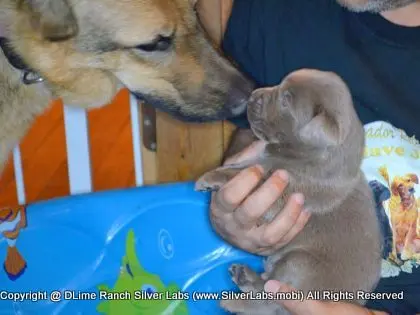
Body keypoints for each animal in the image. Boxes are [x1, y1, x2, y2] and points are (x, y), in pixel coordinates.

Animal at [195, 69, 382, 315]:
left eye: (286, 101)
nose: (253, 96)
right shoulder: (263, 161)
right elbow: (242, 167)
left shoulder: (288, 190)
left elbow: (241, 175)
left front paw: (208, 179)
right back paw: (245, 276)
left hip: (299, 264)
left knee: (269, 297)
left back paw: (234, 301)